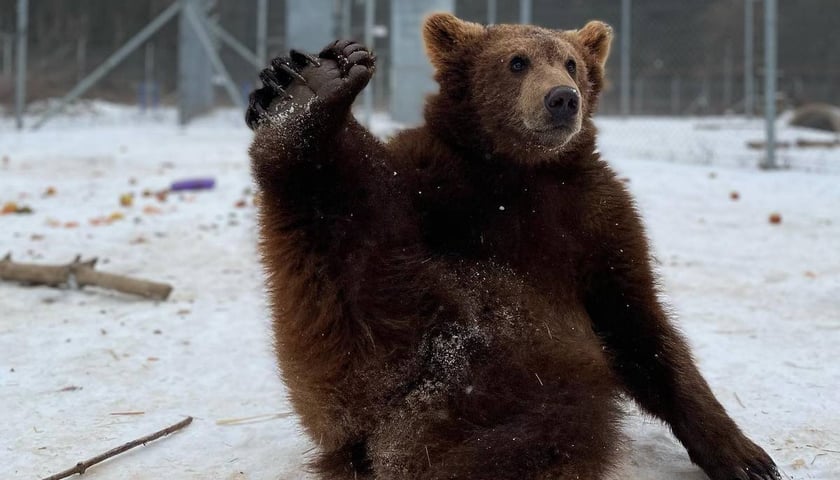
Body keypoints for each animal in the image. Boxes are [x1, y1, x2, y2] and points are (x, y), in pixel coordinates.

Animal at [244, 11, 780, 480]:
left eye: (571, 63)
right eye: (517, 61)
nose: (562, 98)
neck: (521, 171)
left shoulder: (597, 221)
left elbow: (640, 324)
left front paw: (746, 457)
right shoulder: (433, 179)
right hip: (377, 343)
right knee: (348, 242)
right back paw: (306, 97)